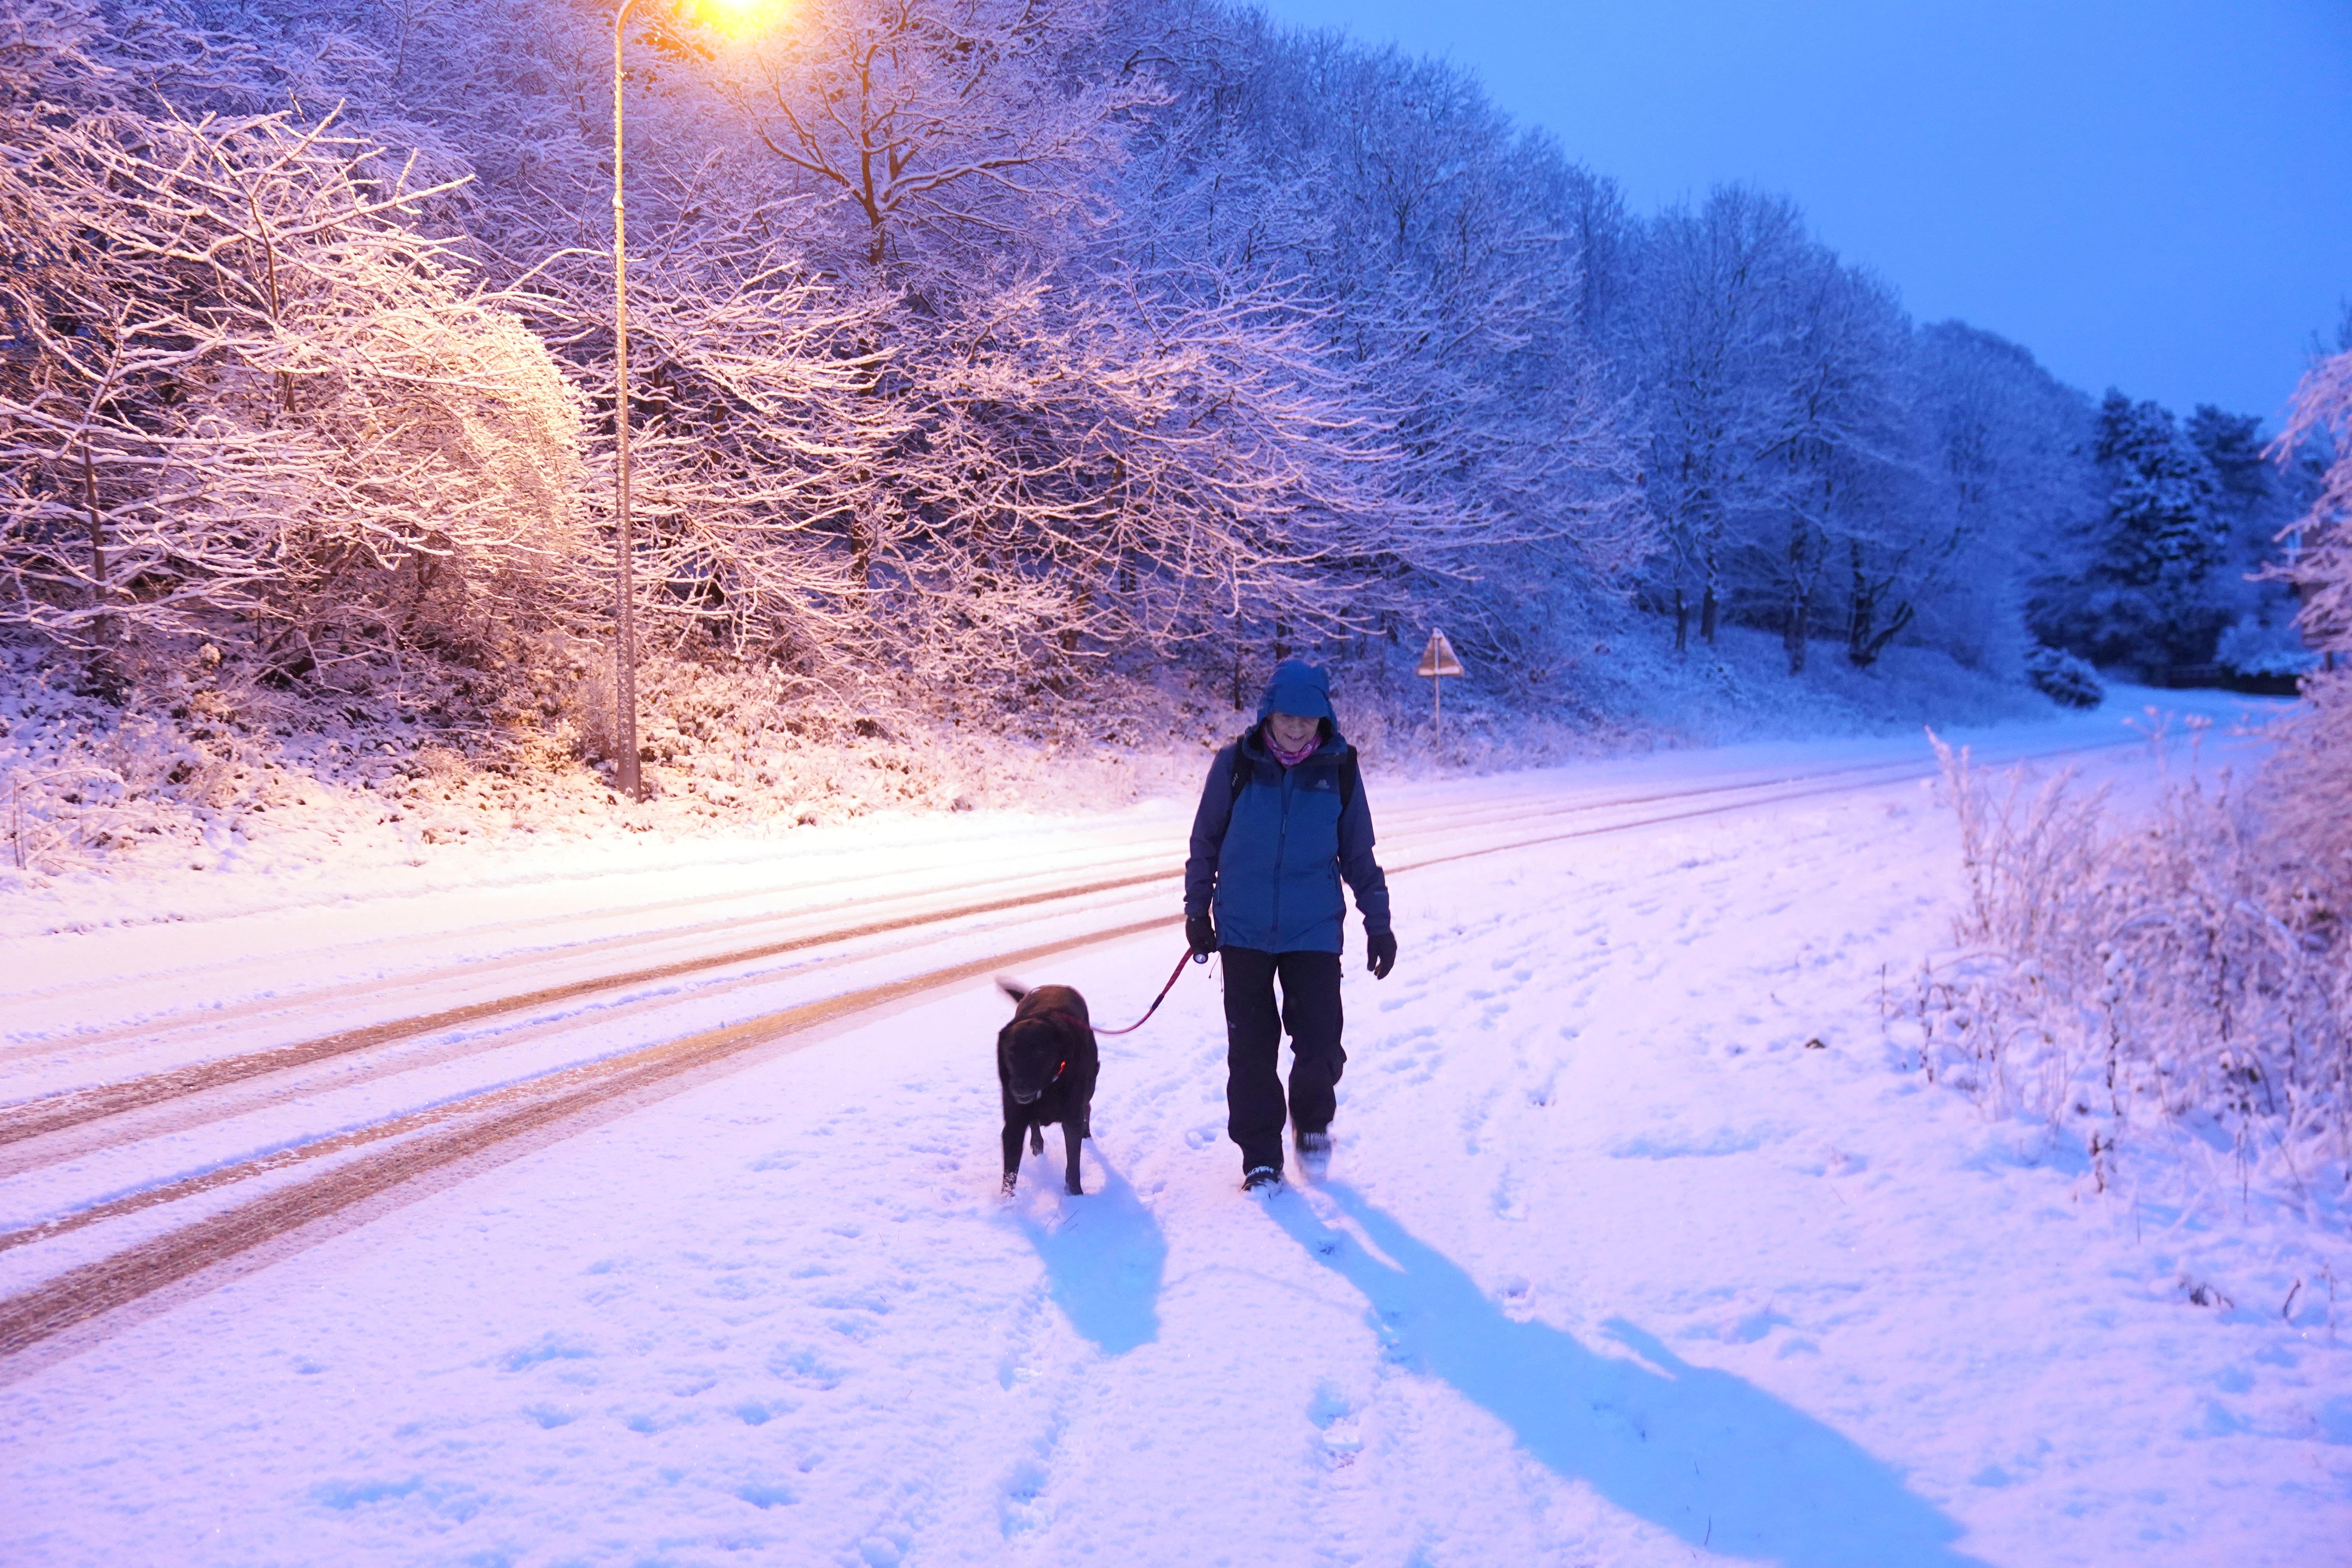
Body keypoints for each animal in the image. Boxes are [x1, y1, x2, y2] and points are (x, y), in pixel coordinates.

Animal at [993, 982, 1101, 1203]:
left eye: (1039, 1052)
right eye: (1011, 1052)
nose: (1018, 1087)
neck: (1048, 1087)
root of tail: (1053, 985)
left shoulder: (1071, 1119)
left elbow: (1073, 1167)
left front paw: (1076, 1197)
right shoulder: (1014, 1125)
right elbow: (1009, 1176)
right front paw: (1006, 1207)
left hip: (1090, 1084)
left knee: (1087, 1106)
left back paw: (1086, 1132)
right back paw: (1037, 1144)